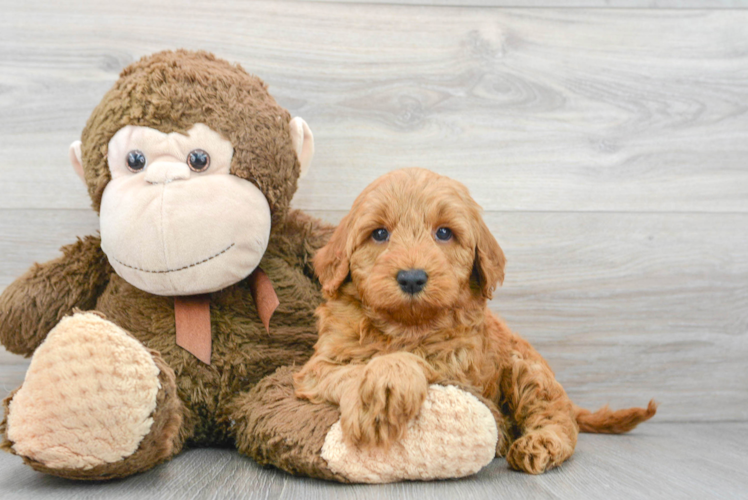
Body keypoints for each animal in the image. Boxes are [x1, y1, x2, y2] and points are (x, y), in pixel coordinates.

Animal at [292, 167, 656, 472]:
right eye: (379, 234)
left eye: (443, 233)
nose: (412, 278)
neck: (407, 326)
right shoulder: (317, 367)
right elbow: (353, 368)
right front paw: (379, 393)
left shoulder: (458, 365)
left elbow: (419, 361)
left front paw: (387, 387)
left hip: (526, 369)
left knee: (558, 418)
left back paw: (539, 444)